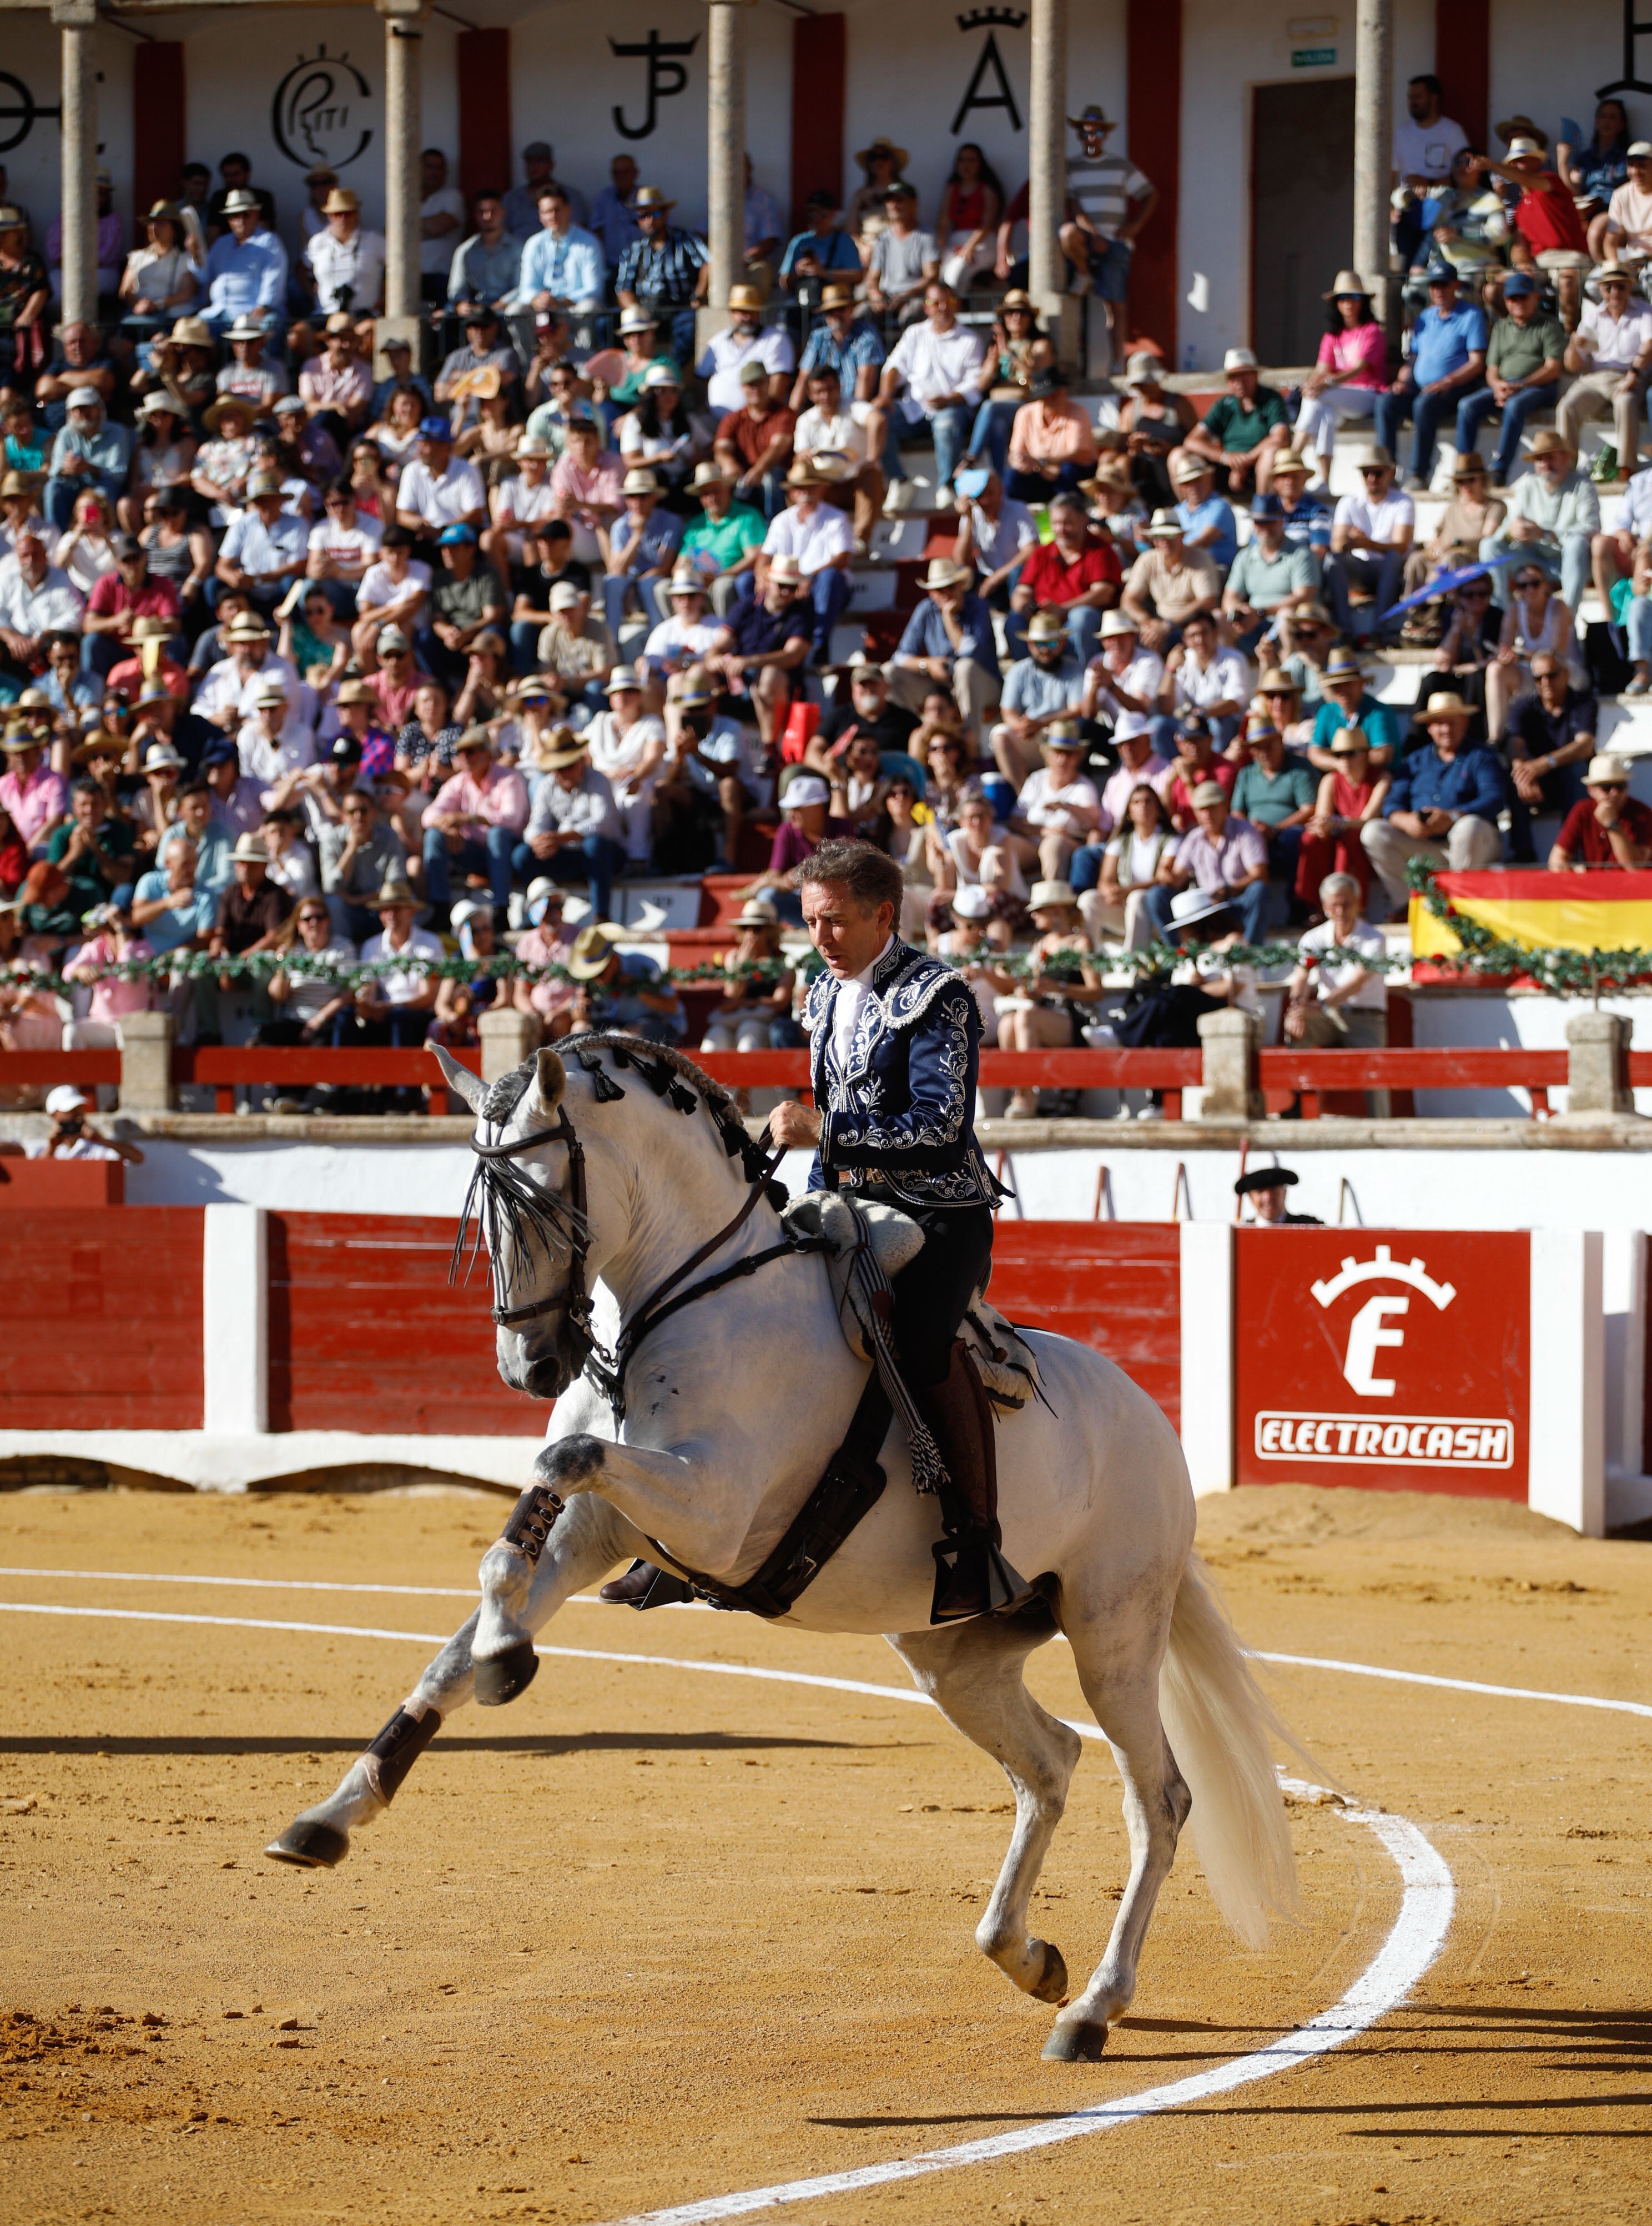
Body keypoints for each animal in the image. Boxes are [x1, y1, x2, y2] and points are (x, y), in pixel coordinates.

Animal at [268, 1033, 1309, 2057]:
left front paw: (503, 1659)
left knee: (1159, 1798)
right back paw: (1027, 1957)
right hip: (954, 1654)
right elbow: (490, 1582)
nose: (531, 1366)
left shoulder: (714, 1510)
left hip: (1113, 1632)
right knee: (1048, 1762)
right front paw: (344, 1802)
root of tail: (1149, 1423)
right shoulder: (606, 1523)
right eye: (483, 1214)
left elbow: (563, 1456)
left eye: (545, 1203)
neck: (689, 1296)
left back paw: (1093, 2006)